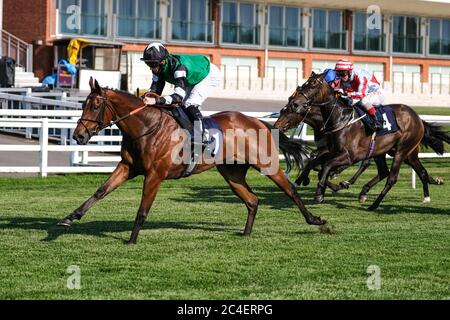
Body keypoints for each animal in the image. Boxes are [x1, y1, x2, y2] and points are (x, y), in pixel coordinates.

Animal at [59, 79, 326, 244]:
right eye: (83, 104)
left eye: (95, 105)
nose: (78, 136)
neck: (146, 127)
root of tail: (258, 122)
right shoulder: (128, 167)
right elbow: (101, 191)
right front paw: (69, 218)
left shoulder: (155, 174)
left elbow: (143, 208)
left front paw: (132, 239)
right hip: (232, 172)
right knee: (252, 200)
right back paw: (246, 233)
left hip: (266, 164)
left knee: (290, 189)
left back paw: (315, 219)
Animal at [272, 71, 448, 209]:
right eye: (284, 108)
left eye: (313, 84)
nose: (295, 102)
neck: (338, 119)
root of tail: (418, 118)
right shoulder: (332, 151)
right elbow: (316, 164)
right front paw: (304, 180)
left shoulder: (349, 155)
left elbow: (326, 166)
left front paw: (320, 192)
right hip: (394, 152)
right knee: (405, 172)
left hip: (401, 150)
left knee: (391, 177)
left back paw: (374, 204)